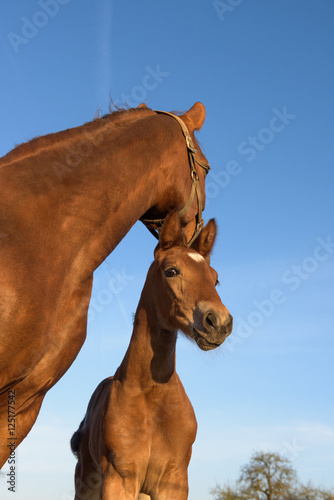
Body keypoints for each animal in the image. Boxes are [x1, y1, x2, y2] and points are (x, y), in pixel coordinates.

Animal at [70, 212, 232, 500]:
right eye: (171, 271)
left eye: (215, 279)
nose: (219, 322)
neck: (152, 396)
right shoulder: (120, 479)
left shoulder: (174, 481)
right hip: (86, 483)